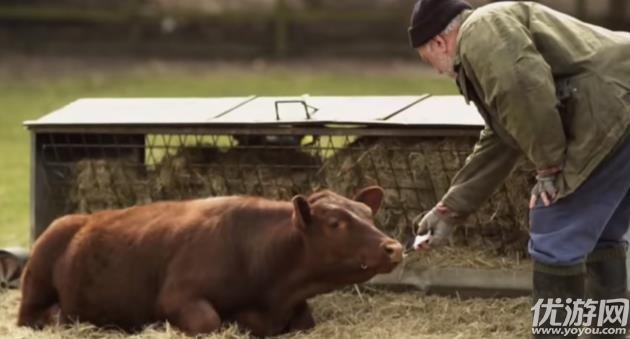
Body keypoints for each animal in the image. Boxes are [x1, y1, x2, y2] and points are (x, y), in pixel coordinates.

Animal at [18, 187, 404, 338]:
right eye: (336, 223)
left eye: (368, 213)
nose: (394, 247)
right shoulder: (178, 296)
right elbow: (208, 321)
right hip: (37, 281)